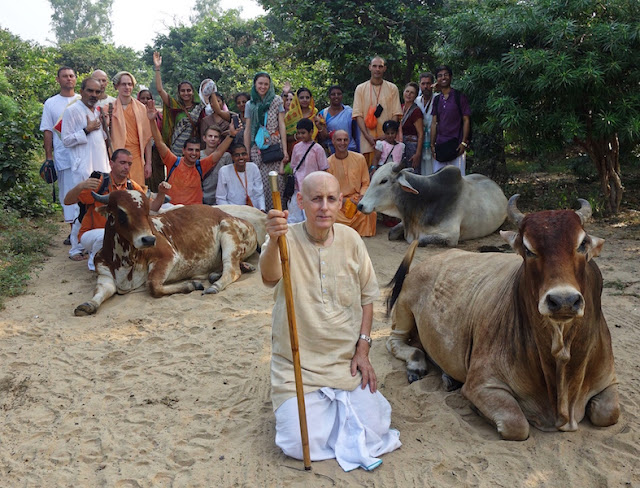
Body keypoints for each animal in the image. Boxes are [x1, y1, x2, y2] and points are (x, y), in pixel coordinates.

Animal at [73, 191, 258, 316]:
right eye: (121, 212)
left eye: (147, 213)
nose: (148, 239)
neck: (124, 261)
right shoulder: (104, 273)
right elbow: (101, 291)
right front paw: (87, 304)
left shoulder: (167, 256)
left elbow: (153, 286)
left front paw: (192, 285)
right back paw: (231, 270)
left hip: (228, 234)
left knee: (231, 269)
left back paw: (215, 285)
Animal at [384, 195, 620, 442]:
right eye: (528, 249)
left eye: (582, 244)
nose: (563, 300)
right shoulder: (481, 384)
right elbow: (515, 424)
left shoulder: (609, 380)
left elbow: (608, 413)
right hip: (404, 308)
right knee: (395, 342)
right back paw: (417, 365)